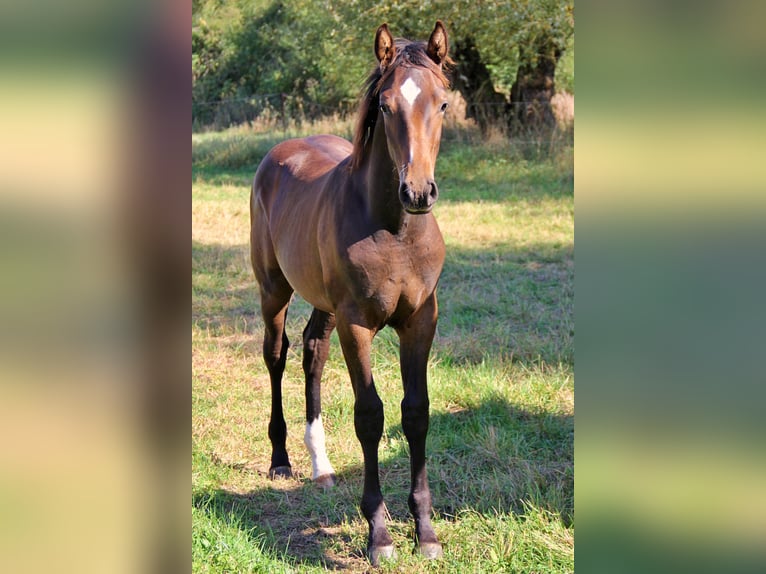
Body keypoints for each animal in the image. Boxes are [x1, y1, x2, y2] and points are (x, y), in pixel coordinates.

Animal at [252, 22, 452, 568]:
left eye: (443, 102)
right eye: (385, 104)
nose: (418, 193)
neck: (395, 230)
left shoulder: (420, 320)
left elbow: (416, 412)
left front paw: (425, 532)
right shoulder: (357, 323)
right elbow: (370, 416)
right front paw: (380, 536)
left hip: (324, 306)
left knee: (312, 352)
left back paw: (321, 464)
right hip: (274, 289)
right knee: (276, 355)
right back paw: (282, 460)